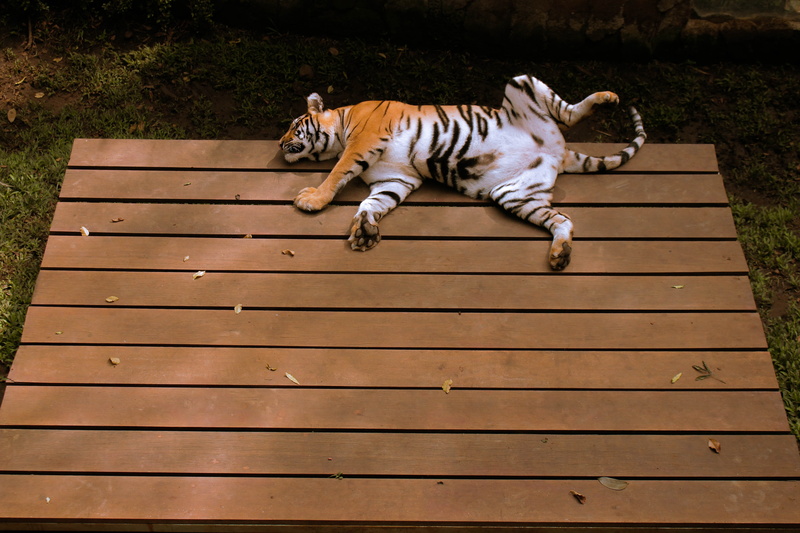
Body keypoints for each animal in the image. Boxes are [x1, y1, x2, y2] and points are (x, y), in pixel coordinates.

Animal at [279, 74, 646, 270]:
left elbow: (337, 172)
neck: (342, 125)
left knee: (568, 114)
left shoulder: (364, 140)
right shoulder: (394, 178)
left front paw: (312, 199)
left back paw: (607, 97)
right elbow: (373, 203)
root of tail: (559, 153)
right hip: (515, 194)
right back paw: (560, 255)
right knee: (564, 219)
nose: (279, 143)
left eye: (295, 125)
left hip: (521, 83)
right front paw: (364, 230)